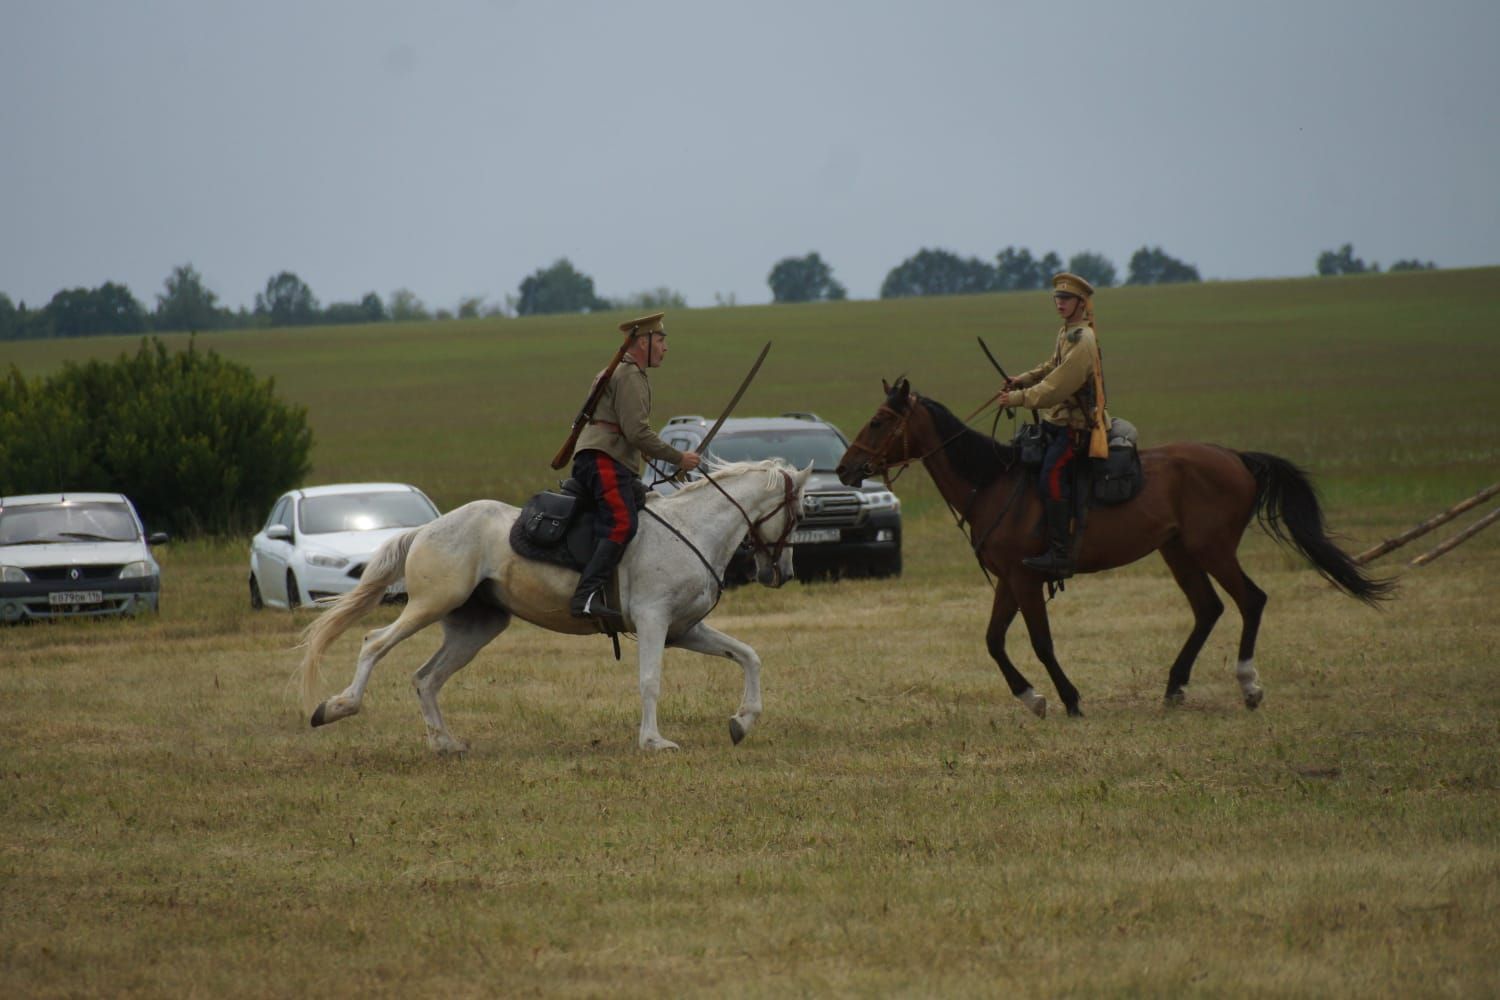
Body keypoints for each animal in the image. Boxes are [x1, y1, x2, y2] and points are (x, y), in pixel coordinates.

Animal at [294, 458, 810, 749]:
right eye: (801, 512)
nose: (780, 574)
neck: (692, 529)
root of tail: (427, 528)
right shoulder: (654, 622)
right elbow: (650, 681)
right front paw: (653, 741)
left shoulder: (685, 629)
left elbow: (748, 656)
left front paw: (743, 722)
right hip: (431, 603)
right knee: (374, 642)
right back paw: (335, 708)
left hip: (476, 627)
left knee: (426, 678)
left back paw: (444, 743)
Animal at [834, 377, 1392, 719]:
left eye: (879, 421)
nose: (845, 468)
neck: (992, 481)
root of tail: (1234, 457)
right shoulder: (1010, 581)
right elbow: (993, 641)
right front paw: (1032, 698)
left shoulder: (1027, 579)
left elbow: (1040, 642)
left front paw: (1069, 699)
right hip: (1178, 552)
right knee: (1208, 609)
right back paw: (1174, 688)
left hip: (1212, 549)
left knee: (1250, 600)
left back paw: (1248, 684)